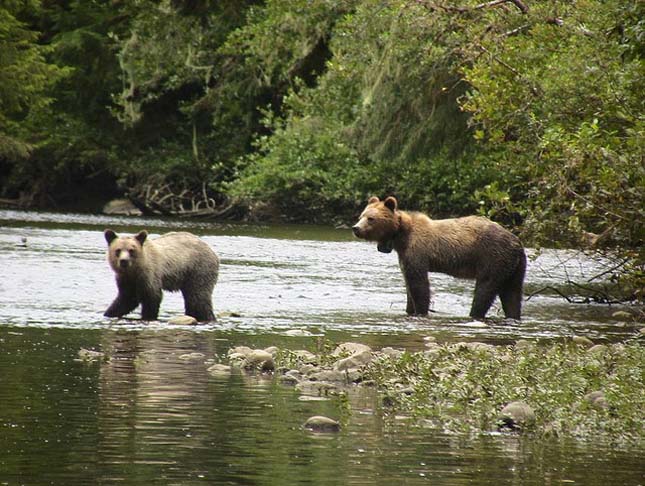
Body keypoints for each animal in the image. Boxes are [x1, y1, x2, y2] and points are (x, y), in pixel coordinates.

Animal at [350, 196, 524, 318]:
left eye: (371, 218)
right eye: (361, 216)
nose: (356, 228)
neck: (400, 236)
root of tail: (517, 242)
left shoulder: (416, 251)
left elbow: (418, 285)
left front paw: (420, 310)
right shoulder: (404, 256)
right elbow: (409, 285)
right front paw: (409, 308)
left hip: (493, 257)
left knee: (485, 289)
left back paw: (474, 313)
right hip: (514, 267)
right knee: (512, 295)